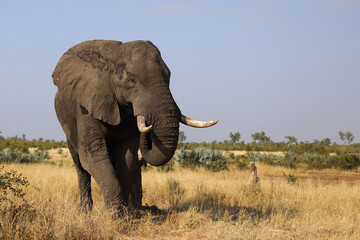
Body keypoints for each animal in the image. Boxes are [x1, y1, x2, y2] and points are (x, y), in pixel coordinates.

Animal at [52, 40, 218, 215]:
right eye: (131, 80)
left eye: (169, 76)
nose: (148, 122)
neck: (113, 55)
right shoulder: (87, 105)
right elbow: (93, 155)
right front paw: (113, 216)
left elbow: (127, 157)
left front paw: (126, 215)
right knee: (80, 166)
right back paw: (85, 212)